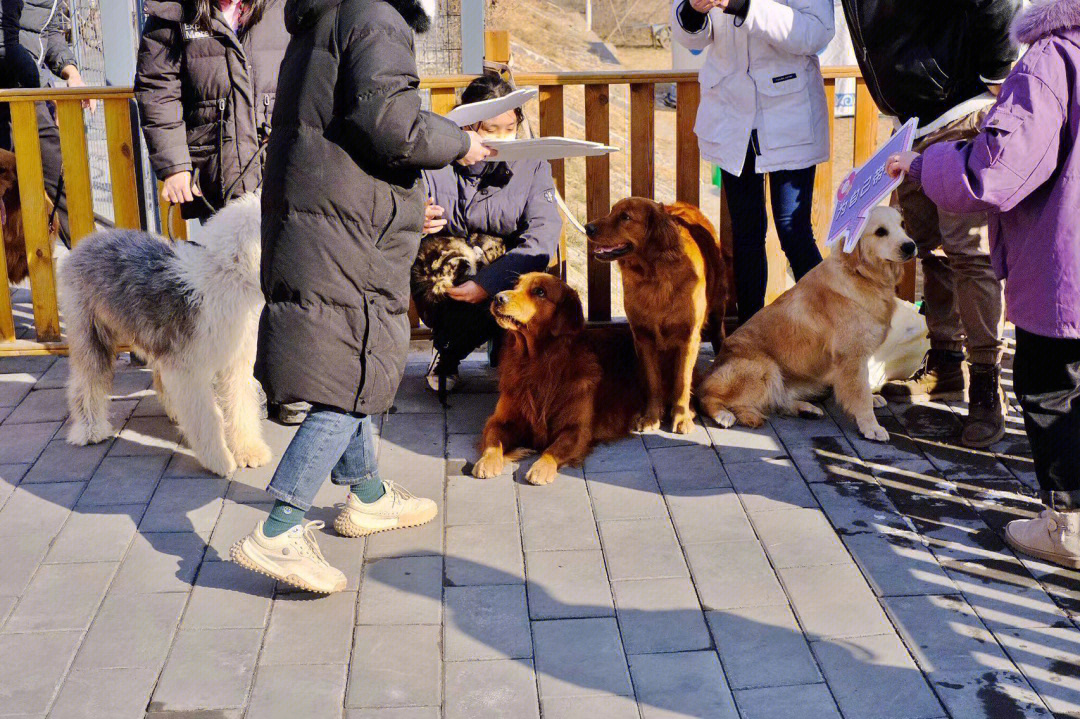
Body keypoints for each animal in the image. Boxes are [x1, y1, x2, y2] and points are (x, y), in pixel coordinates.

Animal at [60, 190, 270, 475]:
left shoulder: (234, 365)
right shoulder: (189, 370)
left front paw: (249, 451)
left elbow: (240, 407)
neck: (228, 275)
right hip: (89, 330)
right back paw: (90, 429)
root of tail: (89, 240)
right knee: (87, 381)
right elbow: (206, 417)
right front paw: (220, 460)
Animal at [470, 272, 639, 483]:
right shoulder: (500, 420)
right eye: (516, 284)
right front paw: (487, 461)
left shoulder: (576, 429)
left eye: (540, 292)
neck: (536, 362)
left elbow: (553, 449)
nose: (498, 297)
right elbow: (494, 439)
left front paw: (541, 468)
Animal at [587, 196, 730, 431]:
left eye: (625, 217)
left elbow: (682, 381)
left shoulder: (688, 337)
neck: (654, 275)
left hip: (717, 307)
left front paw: (682, 417)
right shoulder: (643, 336)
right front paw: (651, 416)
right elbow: (653, 382)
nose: (587, 227)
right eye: (611, 211)